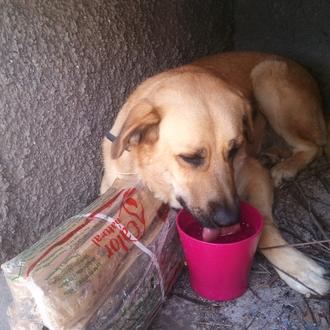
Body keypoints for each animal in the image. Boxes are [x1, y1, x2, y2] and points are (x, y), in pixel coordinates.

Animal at [102, 52, 328, 296]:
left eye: (234, 149)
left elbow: (265, 224)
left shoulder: (254, 172)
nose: (230, 220)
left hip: (266, 78)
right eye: (191, 157)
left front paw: (296, 268)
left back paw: (287, 167)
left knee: (313, 146)